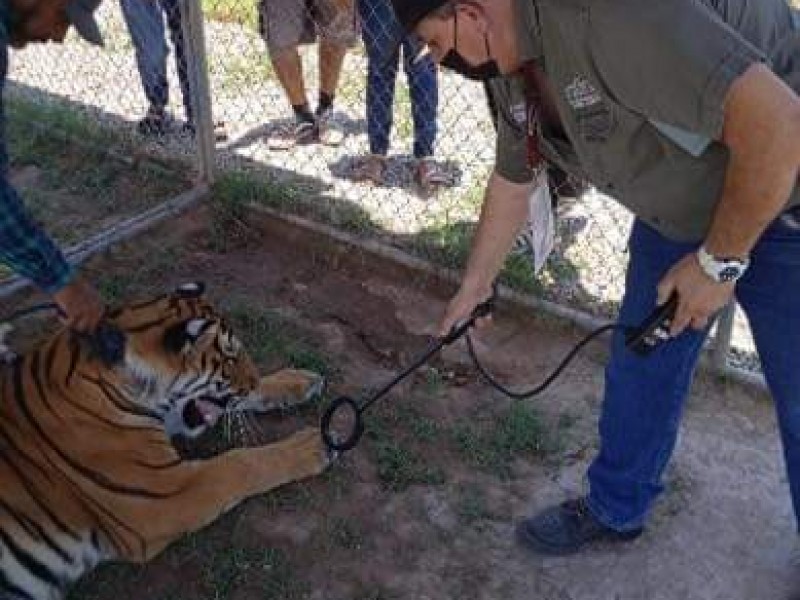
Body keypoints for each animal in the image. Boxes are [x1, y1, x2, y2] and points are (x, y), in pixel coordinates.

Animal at [0, 282, 334, 600]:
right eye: (229, 358)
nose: (251, 380)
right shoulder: (167, 494)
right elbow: (241, 463)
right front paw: (316, 443)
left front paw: (300, 380)